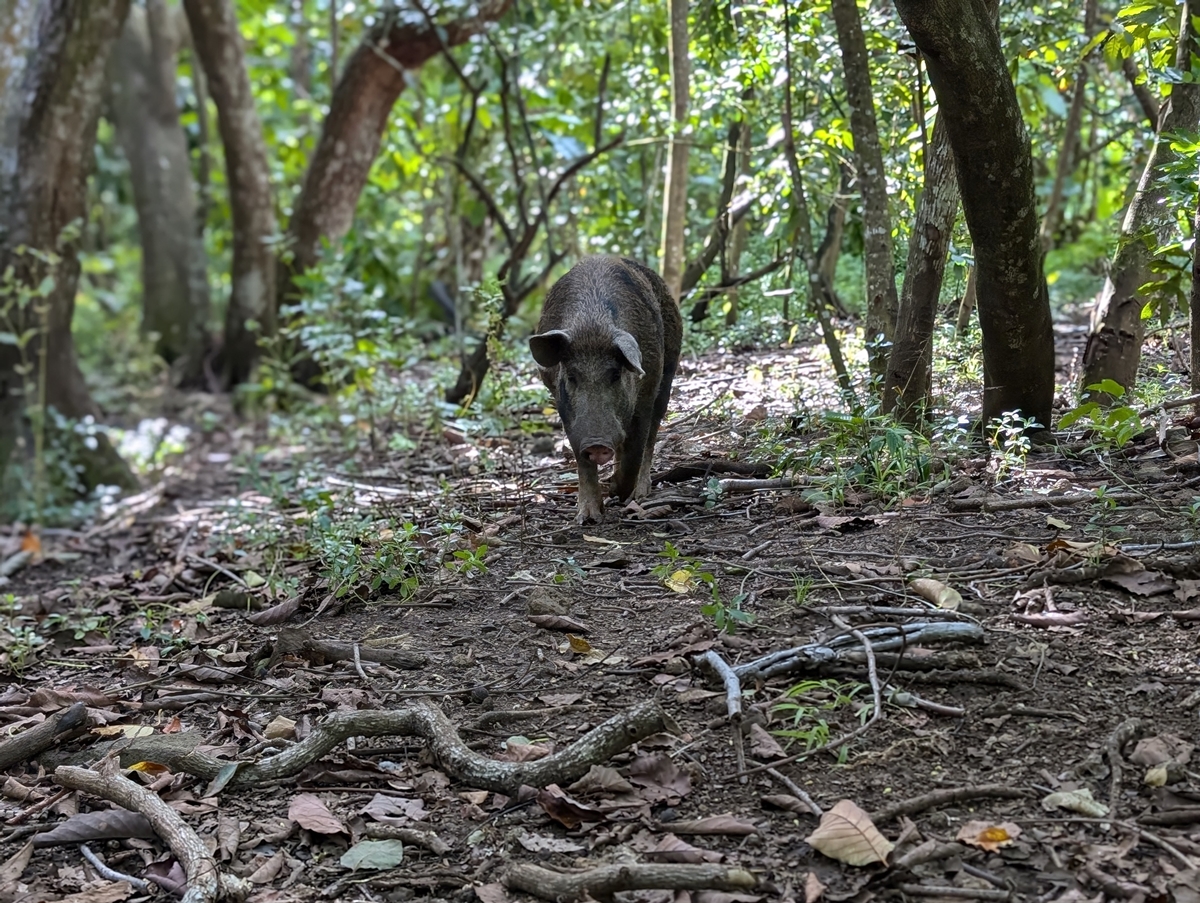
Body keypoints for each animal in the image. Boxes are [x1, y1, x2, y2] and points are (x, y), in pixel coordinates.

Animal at [528, 254, 681, 521]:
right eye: (572, 376)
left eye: (615, 374)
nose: (597, 444)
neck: (592, 328)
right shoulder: (567, 410)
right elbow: (581, 457)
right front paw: (588, 517)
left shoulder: (647, 389)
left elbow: (637, 447)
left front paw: (618, 493)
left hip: (669, 370)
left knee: (652, 433)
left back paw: (640, 494)